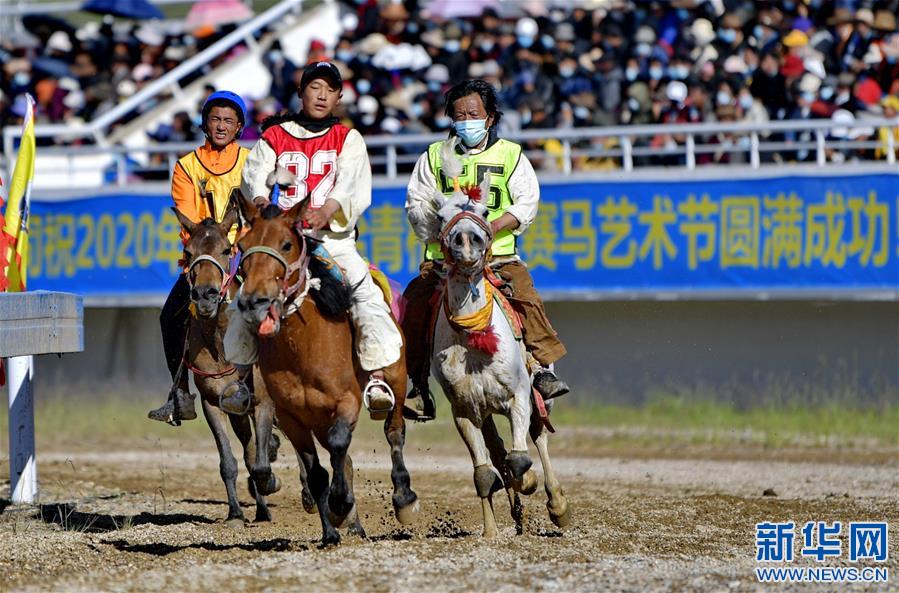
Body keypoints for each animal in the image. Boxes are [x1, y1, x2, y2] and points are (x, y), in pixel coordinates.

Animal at [170, 207, 280, 524]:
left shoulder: (264, 402)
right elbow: (230, 460)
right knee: (249, 449)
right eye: (188, 251)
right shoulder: (213, 404)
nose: (204, 295)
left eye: (226, 249)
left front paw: (270, 482)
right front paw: (235, 514)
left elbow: (261, 458)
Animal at [239, 200, 422, 544]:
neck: (303, 348)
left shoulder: (346, 402)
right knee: (343, 460)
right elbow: (316, 472)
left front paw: (339, 505)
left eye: (286, 244)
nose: (254, 301)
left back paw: (403, 497)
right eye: (242, 246)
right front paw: (331, 530)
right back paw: (352, 524)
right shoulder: (292, 417)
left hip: (396, 378)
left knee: (394, 432)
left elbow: (339, 445)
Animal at [428, 164, 568, 536]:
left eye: (483, 212)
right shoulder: (463, 410)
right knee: (497, 454)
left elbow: (519, 459)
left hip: (538, 398)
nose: (466, 240)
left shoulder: (518, 397)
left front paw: (530, 483)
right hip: (486, 412)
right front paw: (491, 532)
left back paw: (557, 505)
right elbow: (484, 474)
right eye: (441, 215)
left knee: (538, 438)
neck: (473, 341)